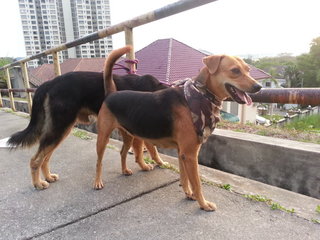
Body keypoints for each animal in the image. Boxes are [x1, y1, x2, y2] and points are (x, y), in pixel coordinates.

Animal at [7, 52, 168, 189]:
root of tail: (50, 83)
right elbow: (147, 151)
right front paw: (151, 165)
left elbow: (146, 150)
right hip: (60, 127)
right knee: (36, 160)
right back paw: (38, 183)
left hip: (61, 130)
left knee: (45, 157)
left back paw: (48, 177)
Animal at [94, 46, 262, 211]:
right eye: (235, 70)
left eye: (248, 70)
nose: (259, 87)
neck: (200, 95)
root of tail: (111, 94)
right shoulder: (190, 154)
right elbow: (197, 183)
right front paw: (203, 204)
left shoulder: (183, 153)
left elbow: (185, 178)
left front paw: (188, 194)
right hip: (103, 138)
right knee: (99, 162)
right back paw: (97, 182)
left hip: (129, 135)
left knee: (123, 152)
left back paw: (124, 170)